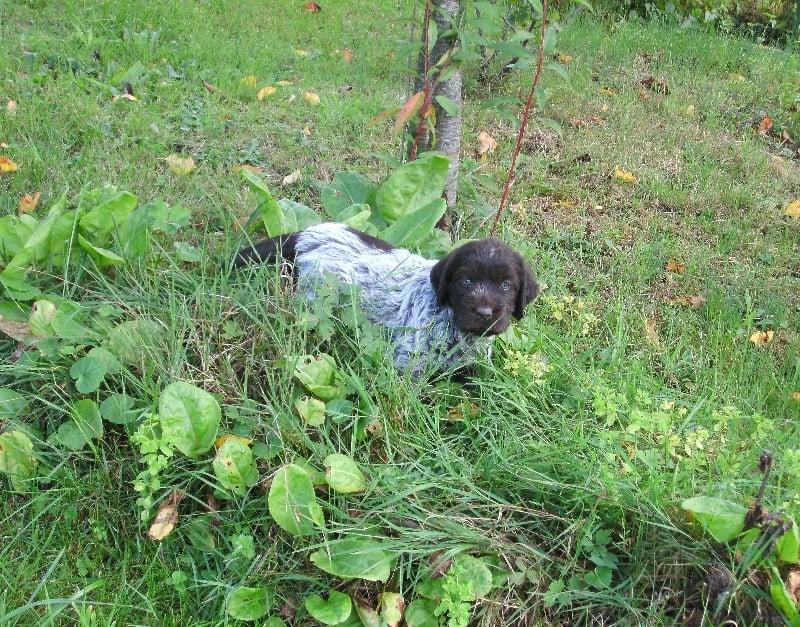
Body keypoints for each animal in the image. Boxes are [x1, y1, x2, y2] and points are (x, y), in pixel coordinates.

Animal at [233, 223, 538, 375]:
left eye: (506, 285)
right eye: (466, 281)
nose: (484, 313)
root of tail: (306, 235)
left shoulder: (474, 366)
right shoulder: (409, 364)